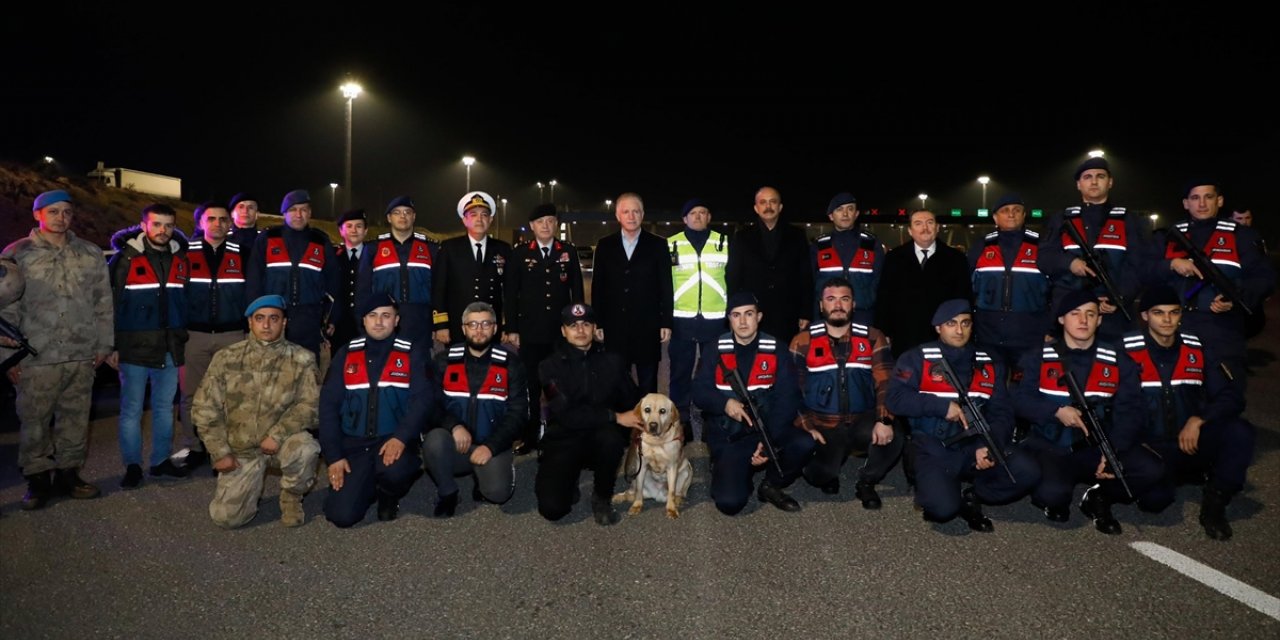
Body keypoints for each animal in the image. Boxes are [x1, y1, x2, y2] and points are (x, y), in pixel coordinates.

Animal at [616, 389, 696, 519]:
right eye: (647, 410)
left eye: (662, 411)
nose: (653, 425)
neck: (656, 441)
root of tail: (656, 495)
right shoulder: (642, 466)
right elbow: (639, 491)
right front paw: (637, 506)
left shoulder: (672, 467)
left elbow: (671, 491)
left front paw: (671, 509)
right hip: (635, 477)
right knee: (632, 492)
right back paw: (620, 497)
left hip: (687, 470)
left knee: (678, 493)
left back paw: (678, 500)